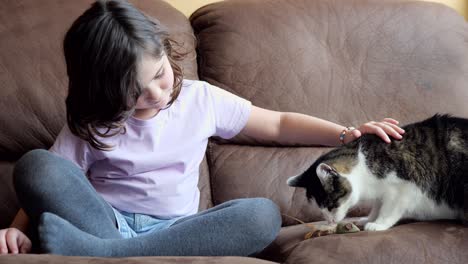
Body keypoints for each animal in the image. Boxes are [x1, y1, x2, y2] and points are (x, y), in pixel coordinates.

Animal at [288, 113, 466, 231]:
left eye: (331, 205)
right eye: (321, 209)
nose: (330, 222)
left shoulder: (405, 187)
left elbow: (390, 209)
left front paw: (378, 224)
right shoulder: (383, 192)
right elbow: (377, 205)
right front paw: (369, 218)